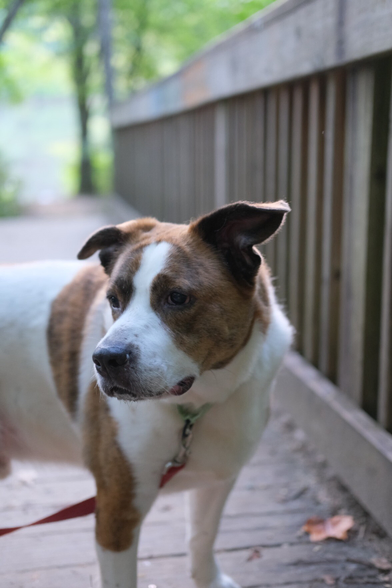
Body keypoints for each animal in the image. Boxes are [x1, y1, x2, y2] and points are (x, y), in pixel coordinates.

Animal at [0, 201, 292, 588]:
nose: (105, 359)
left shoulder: (218, 477)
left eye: (177, 298)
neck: (195, 407)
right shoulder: (117, 510)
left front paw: (208, 579)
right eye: (113, 300)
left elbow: (202, 536)